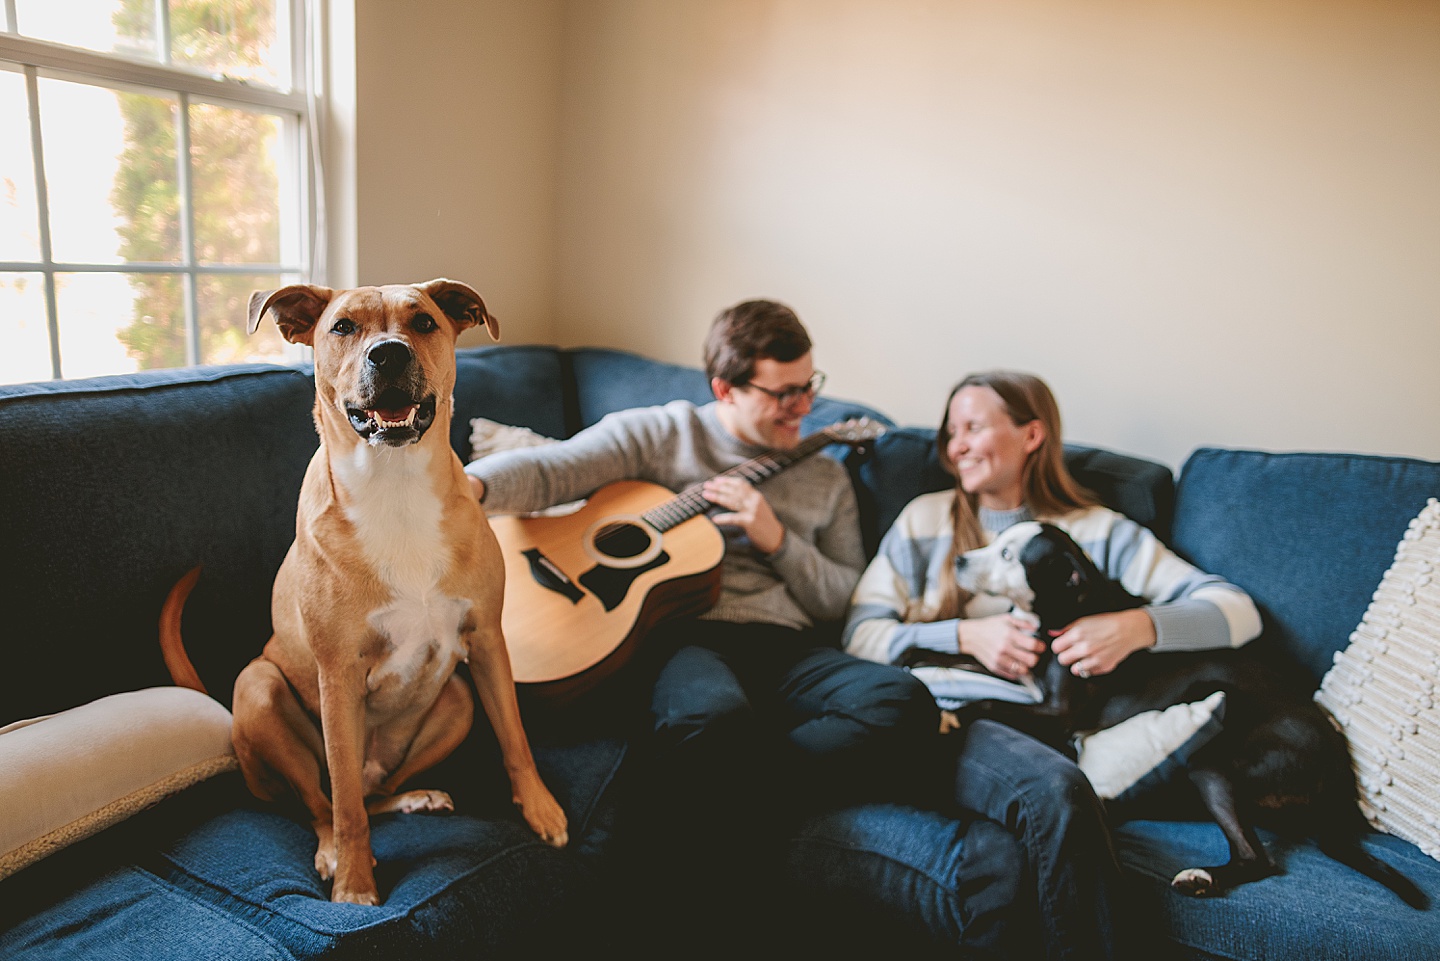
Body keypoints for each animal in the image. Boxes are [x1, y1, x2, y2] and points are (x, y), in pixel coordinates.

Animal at [157, 276, 561, 904]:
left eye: (423, 322)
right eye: (343, 327)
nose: (388, 354)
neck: (395, 488)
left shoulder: (487, 640)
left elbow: (515, 739)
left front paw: (541, 810)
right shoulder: (339, 676)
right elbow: (344, 804)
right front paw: (353, 883)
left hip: (458, 699)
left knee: (374, 792)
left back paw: (414, 796)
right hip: (259, 688)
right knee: (324, 800)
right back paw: (330, 851)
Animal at [944, 521, 1428, 904]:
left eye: (1008, 555)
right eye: (998, 541)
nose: (959, 559)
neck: (1061, 609)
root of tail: (1339, 764)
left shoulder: (1060, 712)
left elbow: (988, 701)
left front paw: (953, 716)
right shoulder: (1015, 674)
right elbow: (958, 660)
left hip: (1212, 765)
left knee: (1257, 857)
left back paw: (1202, 877)